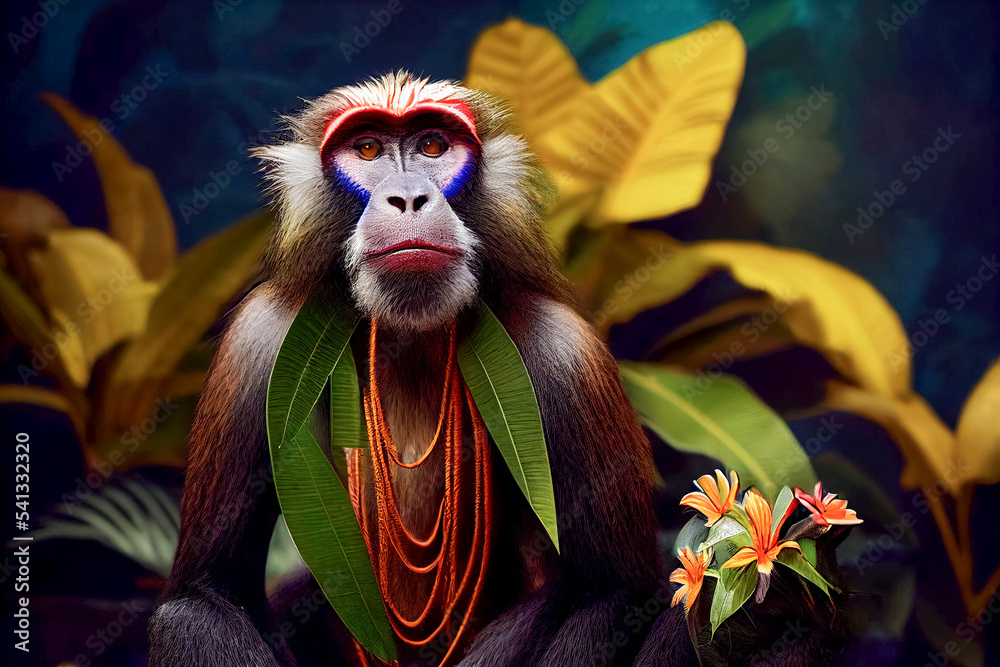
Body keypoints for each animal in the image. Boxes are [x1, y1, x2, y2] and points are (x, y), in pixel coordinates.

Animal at [148, 71, 848, 667]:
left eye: (432, 145)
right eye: (368, 149)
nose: (408, 196)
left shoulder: (563, 350)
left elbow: (613, 593)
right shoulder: (261, 340)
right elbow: (208, 593)